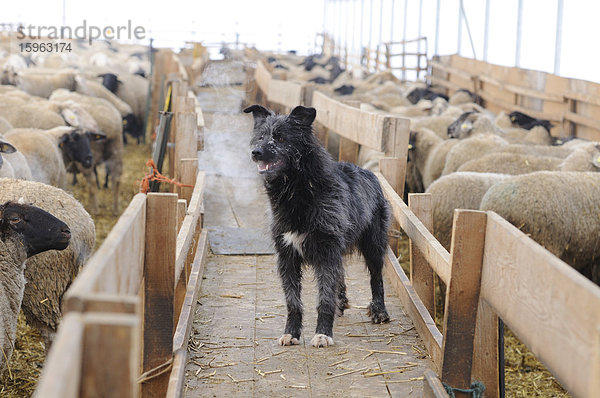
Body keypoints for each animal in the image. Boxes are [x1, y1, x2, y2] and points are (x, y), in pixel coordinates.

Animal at [245, 104, 392, 346]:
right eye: (261, 137)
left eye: (281, 137)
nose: (255, 152)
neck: (298, 193)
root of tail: (368, 171)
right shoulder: (287, 257)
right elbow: (293, 302)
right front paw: (292, 332)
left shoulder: (326, 253)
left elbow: (324, 299)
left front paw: (323, 333)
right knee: (341, 275)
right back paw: (342, 300)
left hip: (373, 246)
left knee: (376, 277)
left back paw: (380, 311)